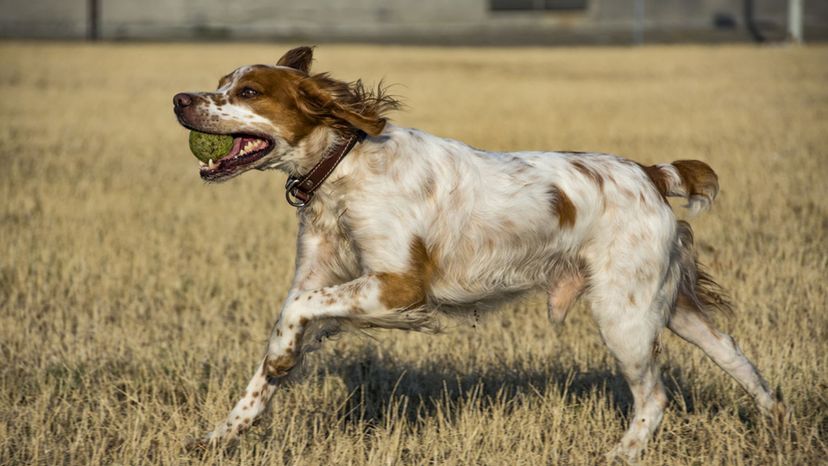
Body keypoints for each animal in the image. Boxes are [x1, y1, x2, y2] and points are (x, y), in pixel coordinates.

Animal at [173, 45, 784, 460]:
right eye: (222, 83)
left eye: (248, 93)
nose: (180, 99)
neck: (344, 165)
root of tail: (651, 172)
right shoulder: (321, 276)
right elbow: (282, 333)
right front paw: (222, 432)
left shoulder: (399, 285)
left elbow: (295, 315)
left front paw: (278, 361)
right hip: (665, 304)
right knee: (734, 353)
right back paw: (776, 420)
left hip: (623, 314)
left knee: (654, 397)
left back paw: (621, 453)